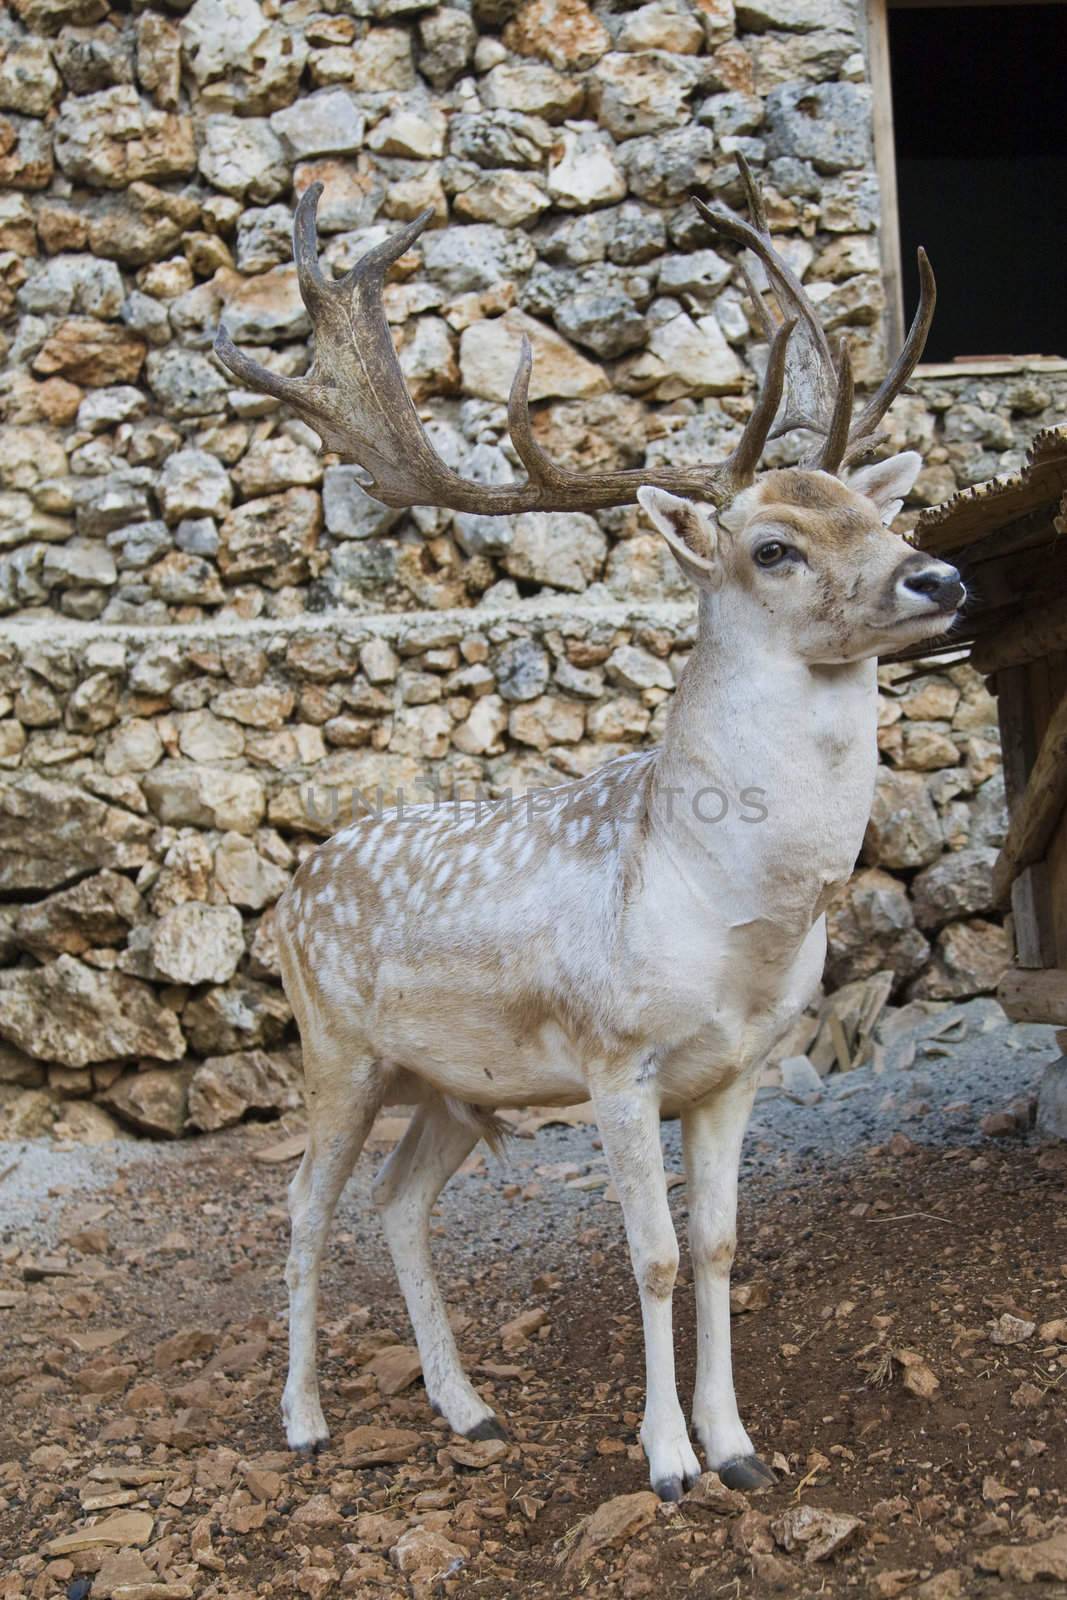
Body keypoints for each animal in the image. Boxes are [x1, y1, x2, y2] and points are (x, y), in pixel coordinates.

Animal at [217, 159, 966, 1497]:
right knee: (302, 1204)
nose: (937, 578)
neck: (727, 912)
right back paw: (302, 1420)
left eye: (883, 519)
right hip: (333, 1044)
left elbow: (718, 1246)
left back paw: (468, 1409)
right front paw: (664, 1462)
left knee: (395, 1203)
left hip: (449, 1082)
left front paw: (739, 1448)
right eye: (773, 545)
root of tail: (292, 892)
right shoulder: (618, 1060)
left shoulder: (738, 1068)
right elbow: (653, 1255)